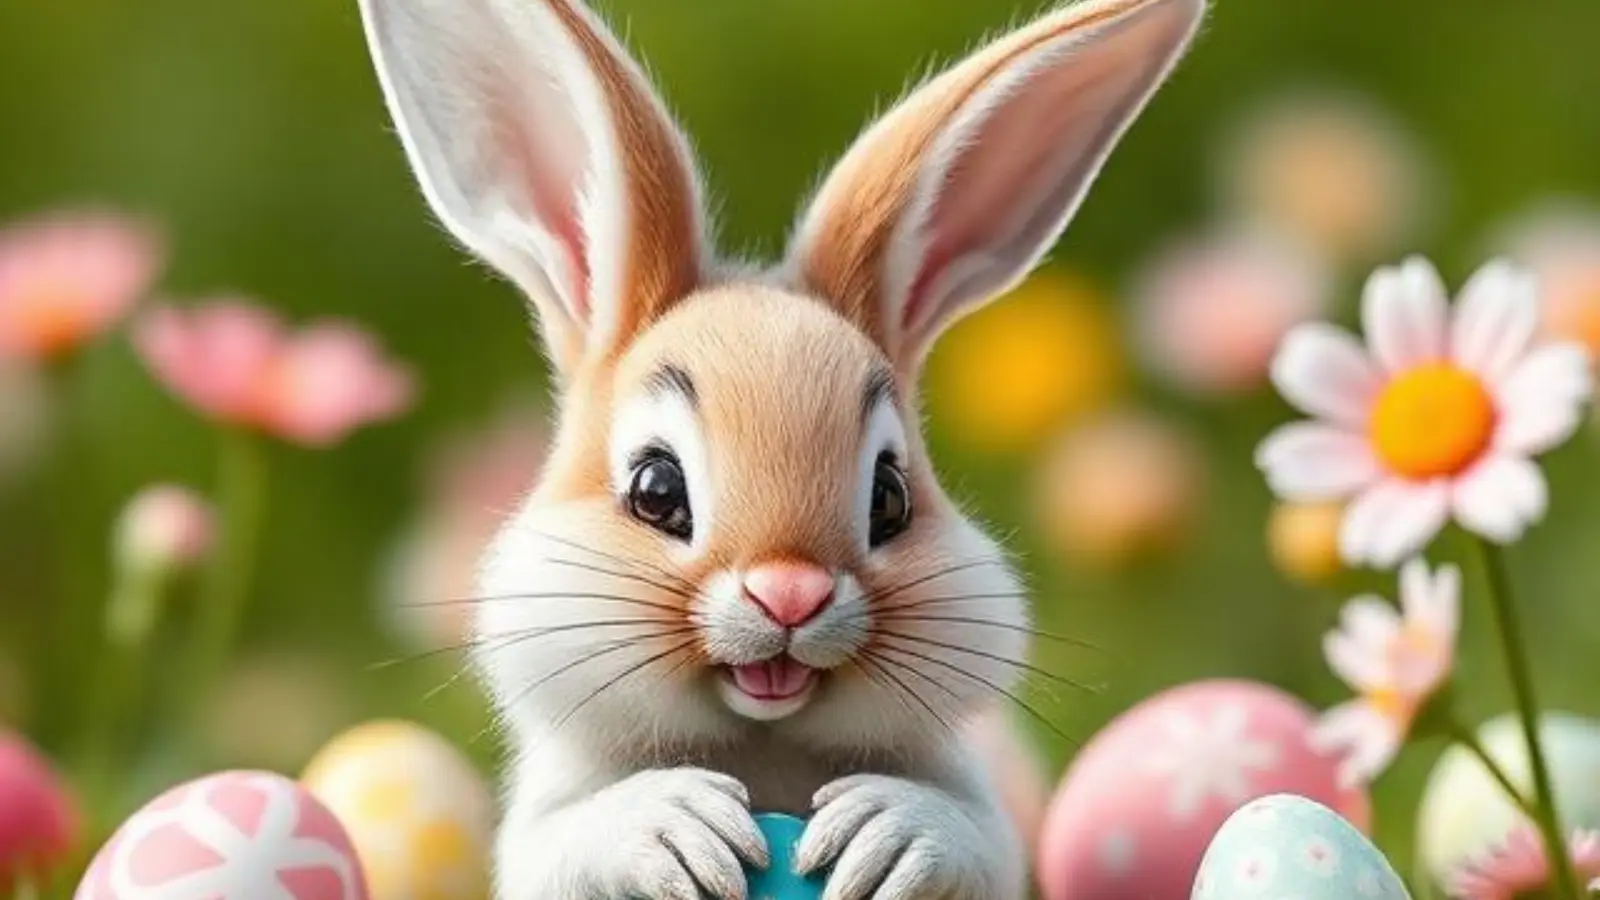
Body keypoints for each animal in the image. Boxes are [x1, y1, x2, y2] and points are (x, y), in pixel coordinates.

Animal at [357, 0, 1205, 897]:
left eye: (890, 498)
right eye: (656, 489)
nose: (790, 596)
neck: (763, 732)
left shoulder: (988, 830)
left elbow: (972, 839)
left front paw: (885, 831)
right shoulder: (540, 838)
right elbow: (572, 840)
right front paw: (678, 829)